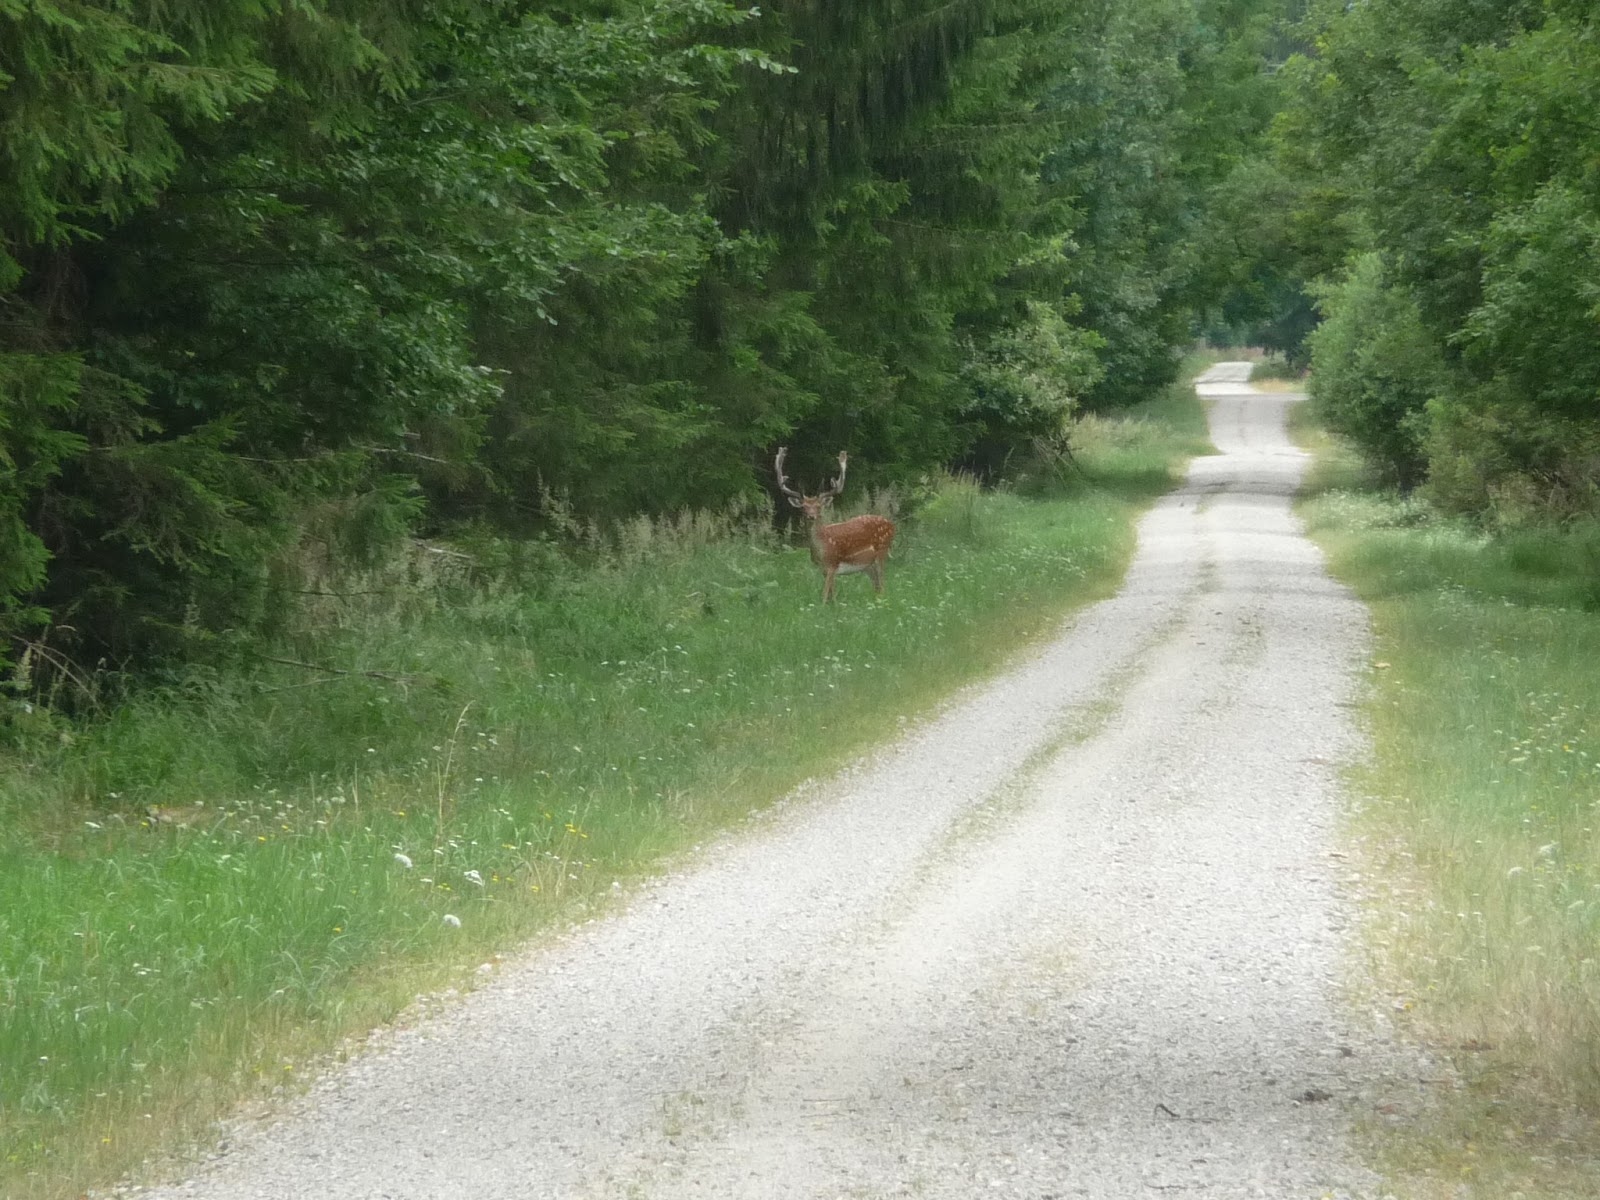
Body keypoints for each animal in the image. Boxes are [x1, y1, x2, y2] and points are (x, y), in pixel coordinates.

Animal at [774, 447, 896, 602]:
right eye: (803, 507)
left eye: (819, 506)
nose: (811, 516)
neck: (822, 549)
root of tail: (892, 525)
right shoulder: (823, 569)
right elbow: (832, 595)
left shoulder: (832, 563)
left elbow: (824, 595)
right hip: (867, 565)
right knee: (877, 587)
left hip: (882, 552)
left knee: (882, 585)